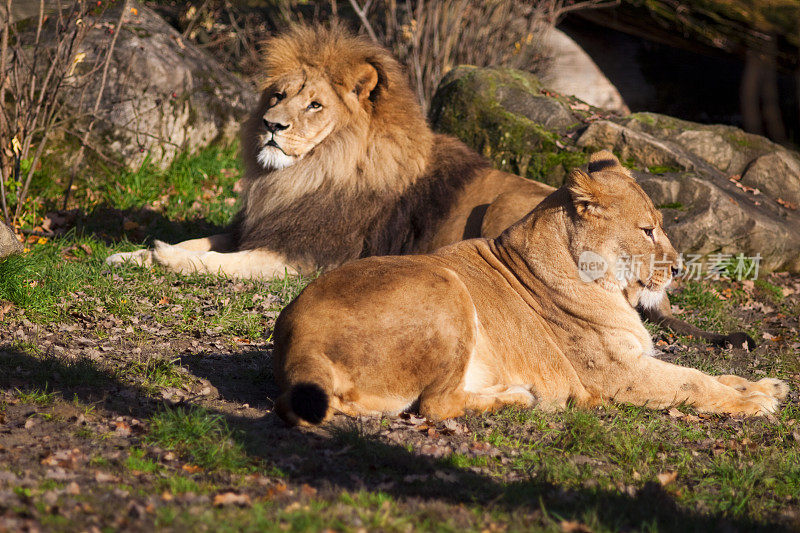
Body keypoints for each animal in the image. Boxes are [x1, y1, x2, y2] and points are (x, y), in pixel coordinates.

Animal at [108, 25, 756, 348]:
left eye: (313, 105)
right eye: (277, 94)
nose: (271, 125)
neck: (304, 174)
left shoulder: (303, 256)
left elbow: (212, 263)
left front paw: (160, 257)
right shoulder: (259, 227)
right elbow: (201, 244)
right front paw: (125, 254)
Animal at [276, 153, 788, 424]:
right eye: (647, 230)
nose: (680, 269)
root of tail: (297, 340)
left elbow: (711, 372)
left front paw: (766, 384)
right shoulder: (617, 374)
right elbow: (693, 379)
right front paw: (753, 402)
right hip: (447, 285)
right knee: (437, 405)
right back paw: (524, 397)